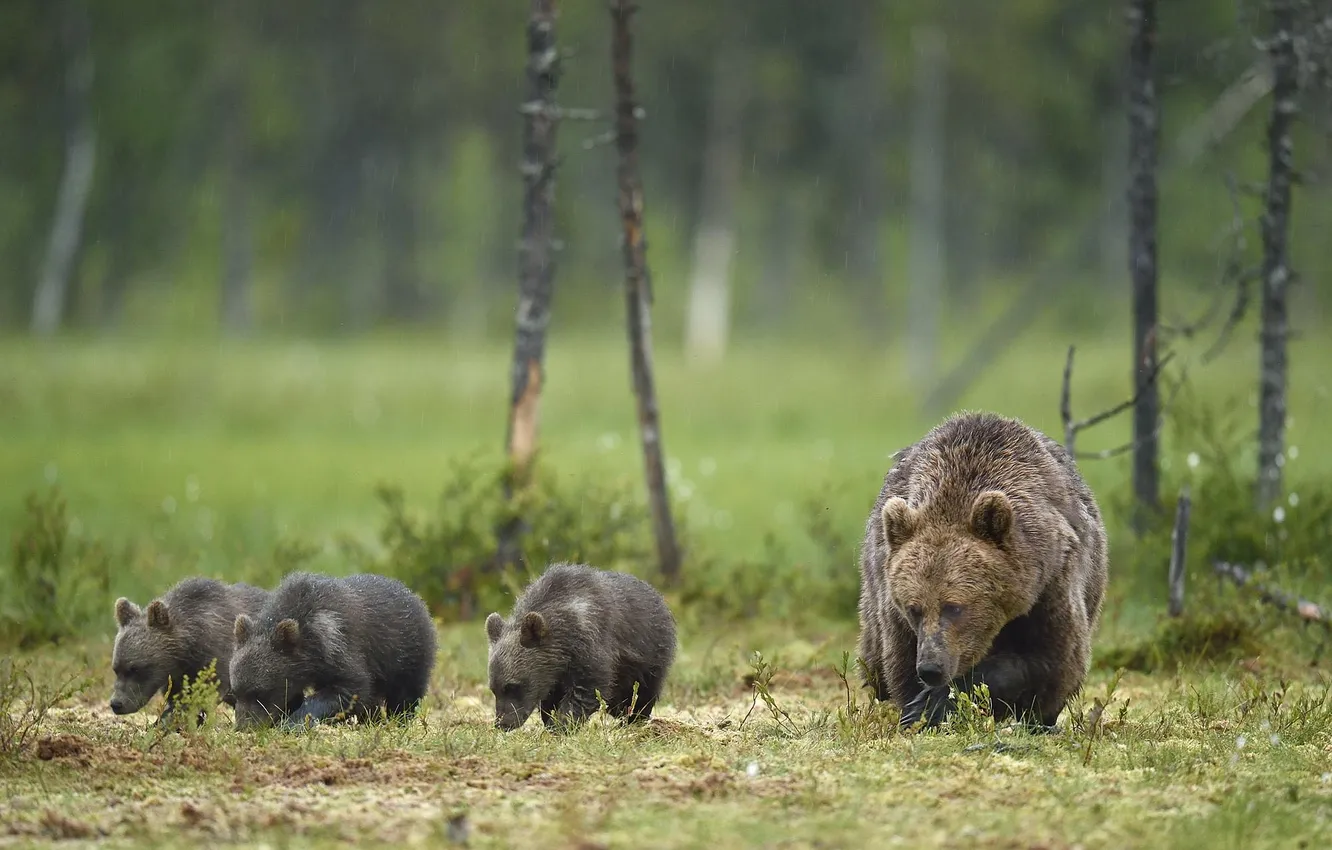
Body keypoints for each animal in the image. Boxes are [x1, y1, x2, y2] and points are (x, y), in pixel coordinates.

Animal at [228, 571, 437, 731]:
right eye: (236, 692)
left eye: (261, 693)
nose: (243, 727)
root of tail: (415, 597)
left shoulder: (339, 646)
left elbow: (350, 688)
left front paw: (293, 722)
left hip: (406, 653)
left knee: (406, 692)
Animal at [484, 562, 677, 732]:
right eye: (494, 689)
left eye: (513, 686)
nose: (502, 724)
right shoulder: (554, 672)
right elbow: (551, 699)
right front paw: (551, 721)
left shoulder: (591, 647)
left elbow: (587, 690)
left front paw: (561, 724)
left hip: (649, 658)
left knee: (641, 693)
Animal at [856, 410, 1108, 731]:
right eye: (914, 608)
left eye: (954, 607)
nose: (931, 668)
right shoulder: (896, 616)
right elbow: (900, 668)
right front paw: (918, 709)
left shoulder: (1053, 583)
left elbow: (1054, 661)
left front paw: (936, 701)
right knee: (874, 662)